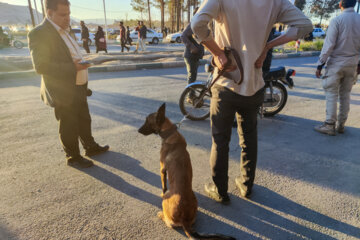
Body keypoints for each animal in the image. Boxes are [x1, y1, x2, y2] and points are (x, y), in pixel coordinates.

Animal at [139, 103, 236, 240]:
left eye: (147, 121)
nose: (138, 130)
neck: (170, 133)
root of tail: (184, 220)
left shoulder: (162, 169)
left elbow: (163, 186)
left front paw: (161, 192)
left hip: (166, 202)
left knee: (169, 222)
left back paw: (161, 214)